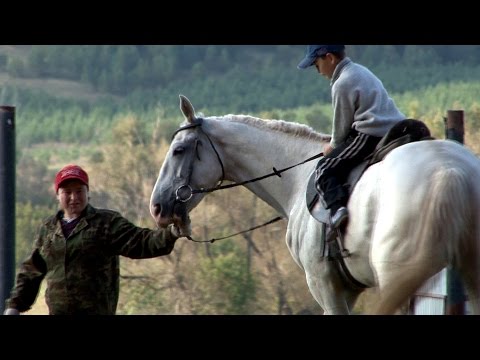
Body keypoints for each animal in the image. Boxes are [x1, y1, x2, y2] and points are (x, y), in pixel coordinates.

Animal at [150, 95, 480, 316]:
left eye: (178, 150)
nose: (157, 207)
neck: (296, 176)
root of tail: (451, 172)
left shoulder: (325, 285)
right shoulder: (346, 289)